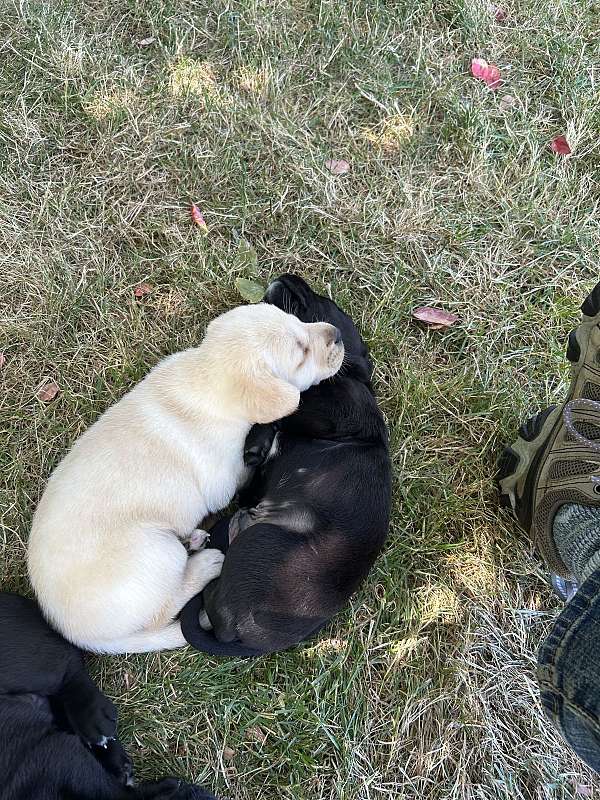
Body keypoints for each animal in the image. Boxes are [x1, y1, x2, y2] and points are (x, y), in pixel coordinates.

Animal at [28, 304, 344, 652]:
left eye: (298, 320)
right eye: (301, 352)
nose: (338, 333)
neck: (206, 375)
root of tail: (78, 635)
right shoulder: (224, 479)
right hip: (158, 551)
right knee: (162, 611)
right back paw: (205, 564)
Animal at [180, 276, 392, 656]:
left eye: (322, 303)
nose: (288, 277)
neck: (351, 378)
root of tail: (243, 634)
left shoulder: (331, 410)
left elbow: (292, 402)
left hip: (263, 542)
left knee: (212, 602)